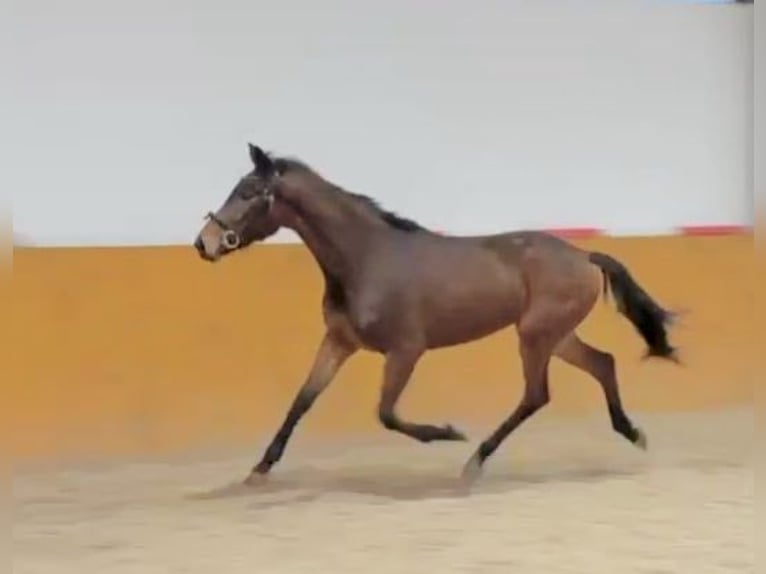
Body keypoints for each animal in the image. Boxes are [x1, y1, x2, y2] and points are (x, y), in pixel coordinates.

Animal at [194, 143, 679, 485]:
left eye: (248, 192)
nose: (204, 243)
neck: (366, 259)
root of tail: (583, 256)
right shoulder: (339, 342)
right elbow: (302, 400)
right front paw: (259, 470)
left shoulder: (406, 350)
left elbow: (386, 413)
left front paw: (447, 432)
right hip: (555, 336)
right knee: (601, 364)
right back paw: (633, 433)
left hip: (534, 336)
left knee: (536, 395)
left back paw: (473, 460)